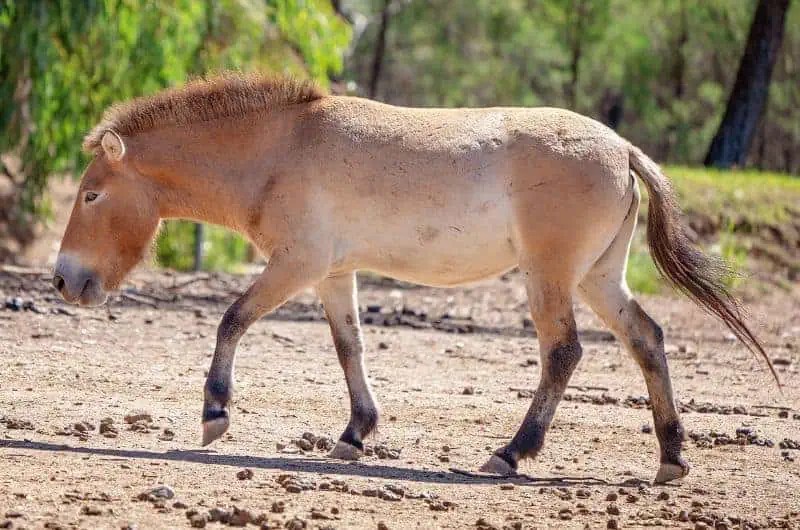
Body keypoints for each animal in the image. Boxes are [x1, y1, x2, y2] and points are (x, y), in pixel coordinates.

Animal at [53, 73, 775, 483]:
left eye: (91, 194)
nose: (63, 281)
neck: (280, 150)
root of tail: (623, 150)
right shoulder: (332, 273)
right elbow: (349, 348)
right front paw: (354, 435)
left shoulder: (296, 264)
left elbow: (232, 318)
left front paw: (215, 414)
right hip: (598, 279)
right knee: (647, 339)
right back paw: (671, 459)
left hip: (550, 278)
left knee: (563, 352)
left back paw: (511, 454)